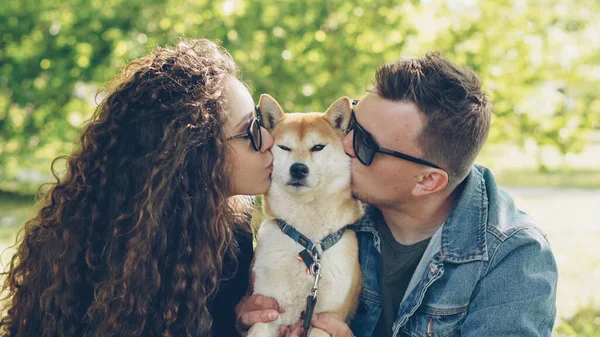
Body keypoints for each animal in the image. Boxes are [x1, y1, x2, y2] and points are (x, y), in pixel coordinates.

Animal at [247, 94, 364, 336]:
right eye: (284, 147)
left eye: (318, 147)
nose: (298, 169)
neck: (307, 241)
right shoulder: (269, 309)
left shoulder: (327, 318)